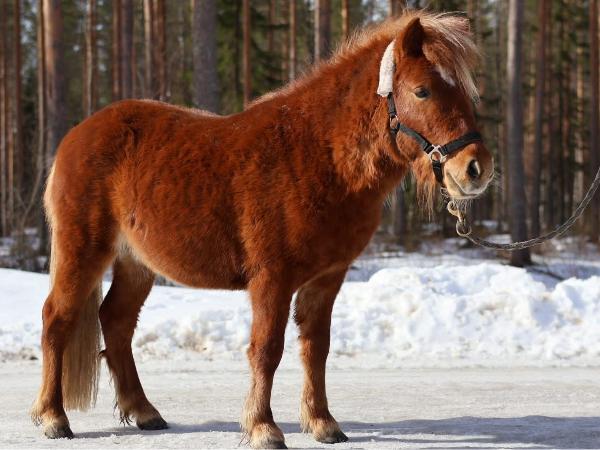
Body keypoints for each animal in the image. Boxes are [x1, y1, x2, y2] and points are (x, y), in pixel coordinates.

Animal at [31, 11, 494, 449]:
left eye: (465, 92)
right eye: (422, 91)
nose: (476, 168)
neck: (316, 156)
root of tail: (77, 135)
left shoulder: (327, 279)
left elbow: (316, 348)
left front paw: (322, 423)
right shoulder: (272, 278)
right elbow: (267, 349)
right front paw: (263, 427)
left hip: (136, 264)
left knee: (117, 321)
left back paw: (144, 412)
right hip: (83, 251)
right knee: (57, 319)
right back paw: (54, 418)